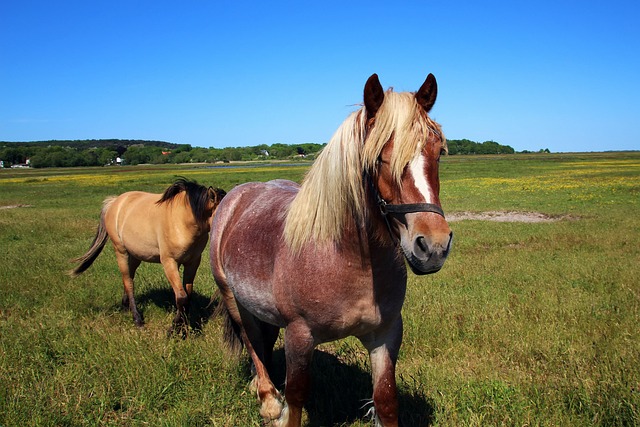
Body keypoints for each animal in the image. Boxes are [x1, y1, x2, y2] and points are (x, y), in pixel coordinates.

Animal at [69, 179, 225, 332]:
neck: (183, 221)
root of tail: (115, 202)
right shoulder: (169, 262)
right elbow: (181, 297)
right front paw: (174, 329)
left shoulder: (192, 262)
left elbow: (188, 294)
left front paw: (183, 326)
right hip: (121, 252)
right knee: (128, 282)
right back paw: (137, 319)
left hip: (134, 256)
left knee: (129, 278)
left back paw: (126, 306)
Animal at [209, 74, 450, 427]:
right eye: (378, 158)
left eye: (438, 152)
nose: (433, 246)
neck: (349, 260)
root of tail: (235, 198)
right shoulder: (299, 335)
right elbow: (295, 399)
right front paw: (280, 407)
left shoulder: (386, 333)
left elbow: (386, 400)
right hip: (233, 299)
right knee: (252, 342)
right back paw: (268, 401)